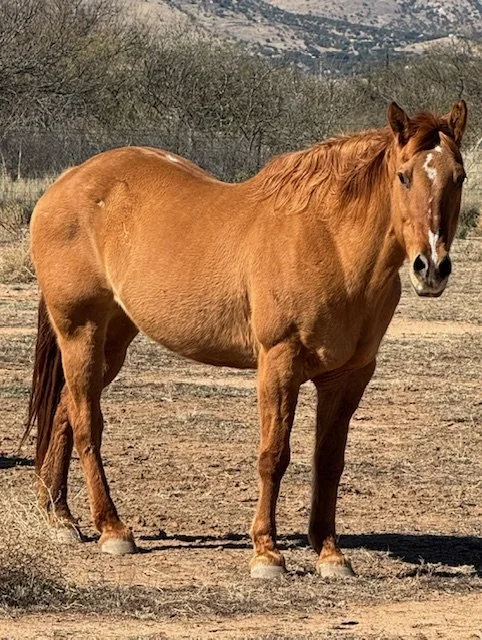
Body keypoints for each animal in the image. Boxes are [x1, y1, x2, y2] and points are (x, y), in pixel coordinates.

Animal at [23, 101, 467, 578]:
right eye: (403, 176)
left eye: (459, 176)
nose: (431, 268)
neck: (331, 243)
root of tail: (66, 183)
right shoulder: (279, 363)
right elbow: (274, 456)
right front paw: (267, 553)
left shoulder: (349, 376)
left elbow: (329, 461)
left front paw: (330, 553)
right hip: (80, 331)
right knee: (87, 421)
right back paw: (112, 529)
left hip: (113, 340)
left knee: (66, 409)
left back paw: (59, 516)